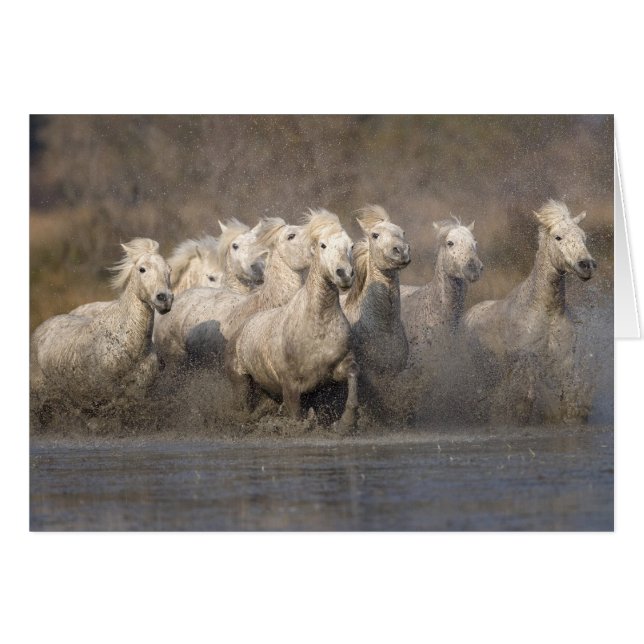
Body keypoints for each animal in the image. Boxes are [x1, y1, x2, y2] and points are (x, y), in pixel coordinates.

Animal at [30, 238, 173, 421]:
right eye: (142, 269)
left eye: (169, 269)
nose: (165, 299)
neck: (130, 348)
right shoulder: (106, 398)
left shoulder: (137, 395)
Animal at [226, 209, 359, 433]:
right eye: (322, 245)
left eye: (350, 245)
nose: (344, 274)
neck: (318, 323)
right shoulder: (291, 387)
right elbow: (296, 418)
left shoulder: (336, 371)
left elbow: (353, 378)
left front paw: (345, 423)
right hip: (242, 383)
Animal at [463, 200, 597, 423]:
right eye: (558, 237)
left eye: (583, 236)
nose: (587, 265)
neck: (546, 313)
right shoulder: (527, 361)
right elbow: (525, 402)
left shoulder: (565, 362)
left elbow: (569, 400)